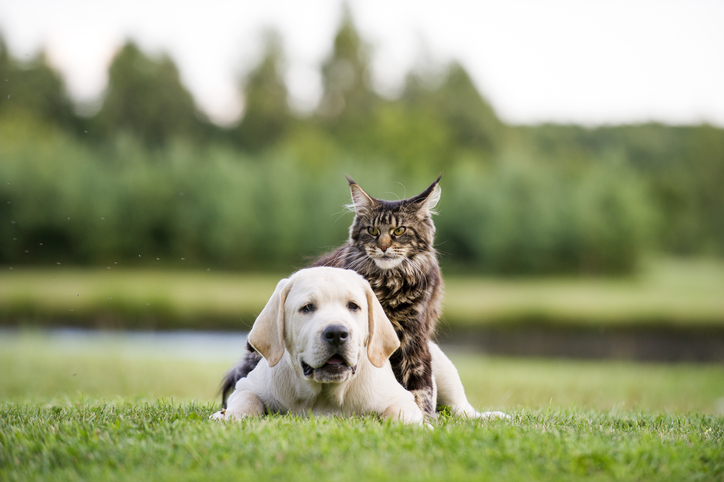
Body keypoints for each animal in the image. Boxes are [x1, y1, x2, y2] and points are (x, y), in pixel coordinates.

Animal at [212, 268, 424, 426]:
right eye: (307, 308)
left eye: (353, 306)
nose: (337, 333)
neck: (324, 396)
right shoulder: (247, 386)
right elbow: (247, 399)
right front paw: (229, 415)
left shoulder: (400, 398)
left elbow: (401, 413)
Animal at [221, 175, 444, 416]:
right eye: (372, 231)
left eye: (400, 230)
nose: (383, 247)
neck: (389, 284)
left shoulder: (414, 339)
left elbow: (420, 389)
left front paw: (425, 417)